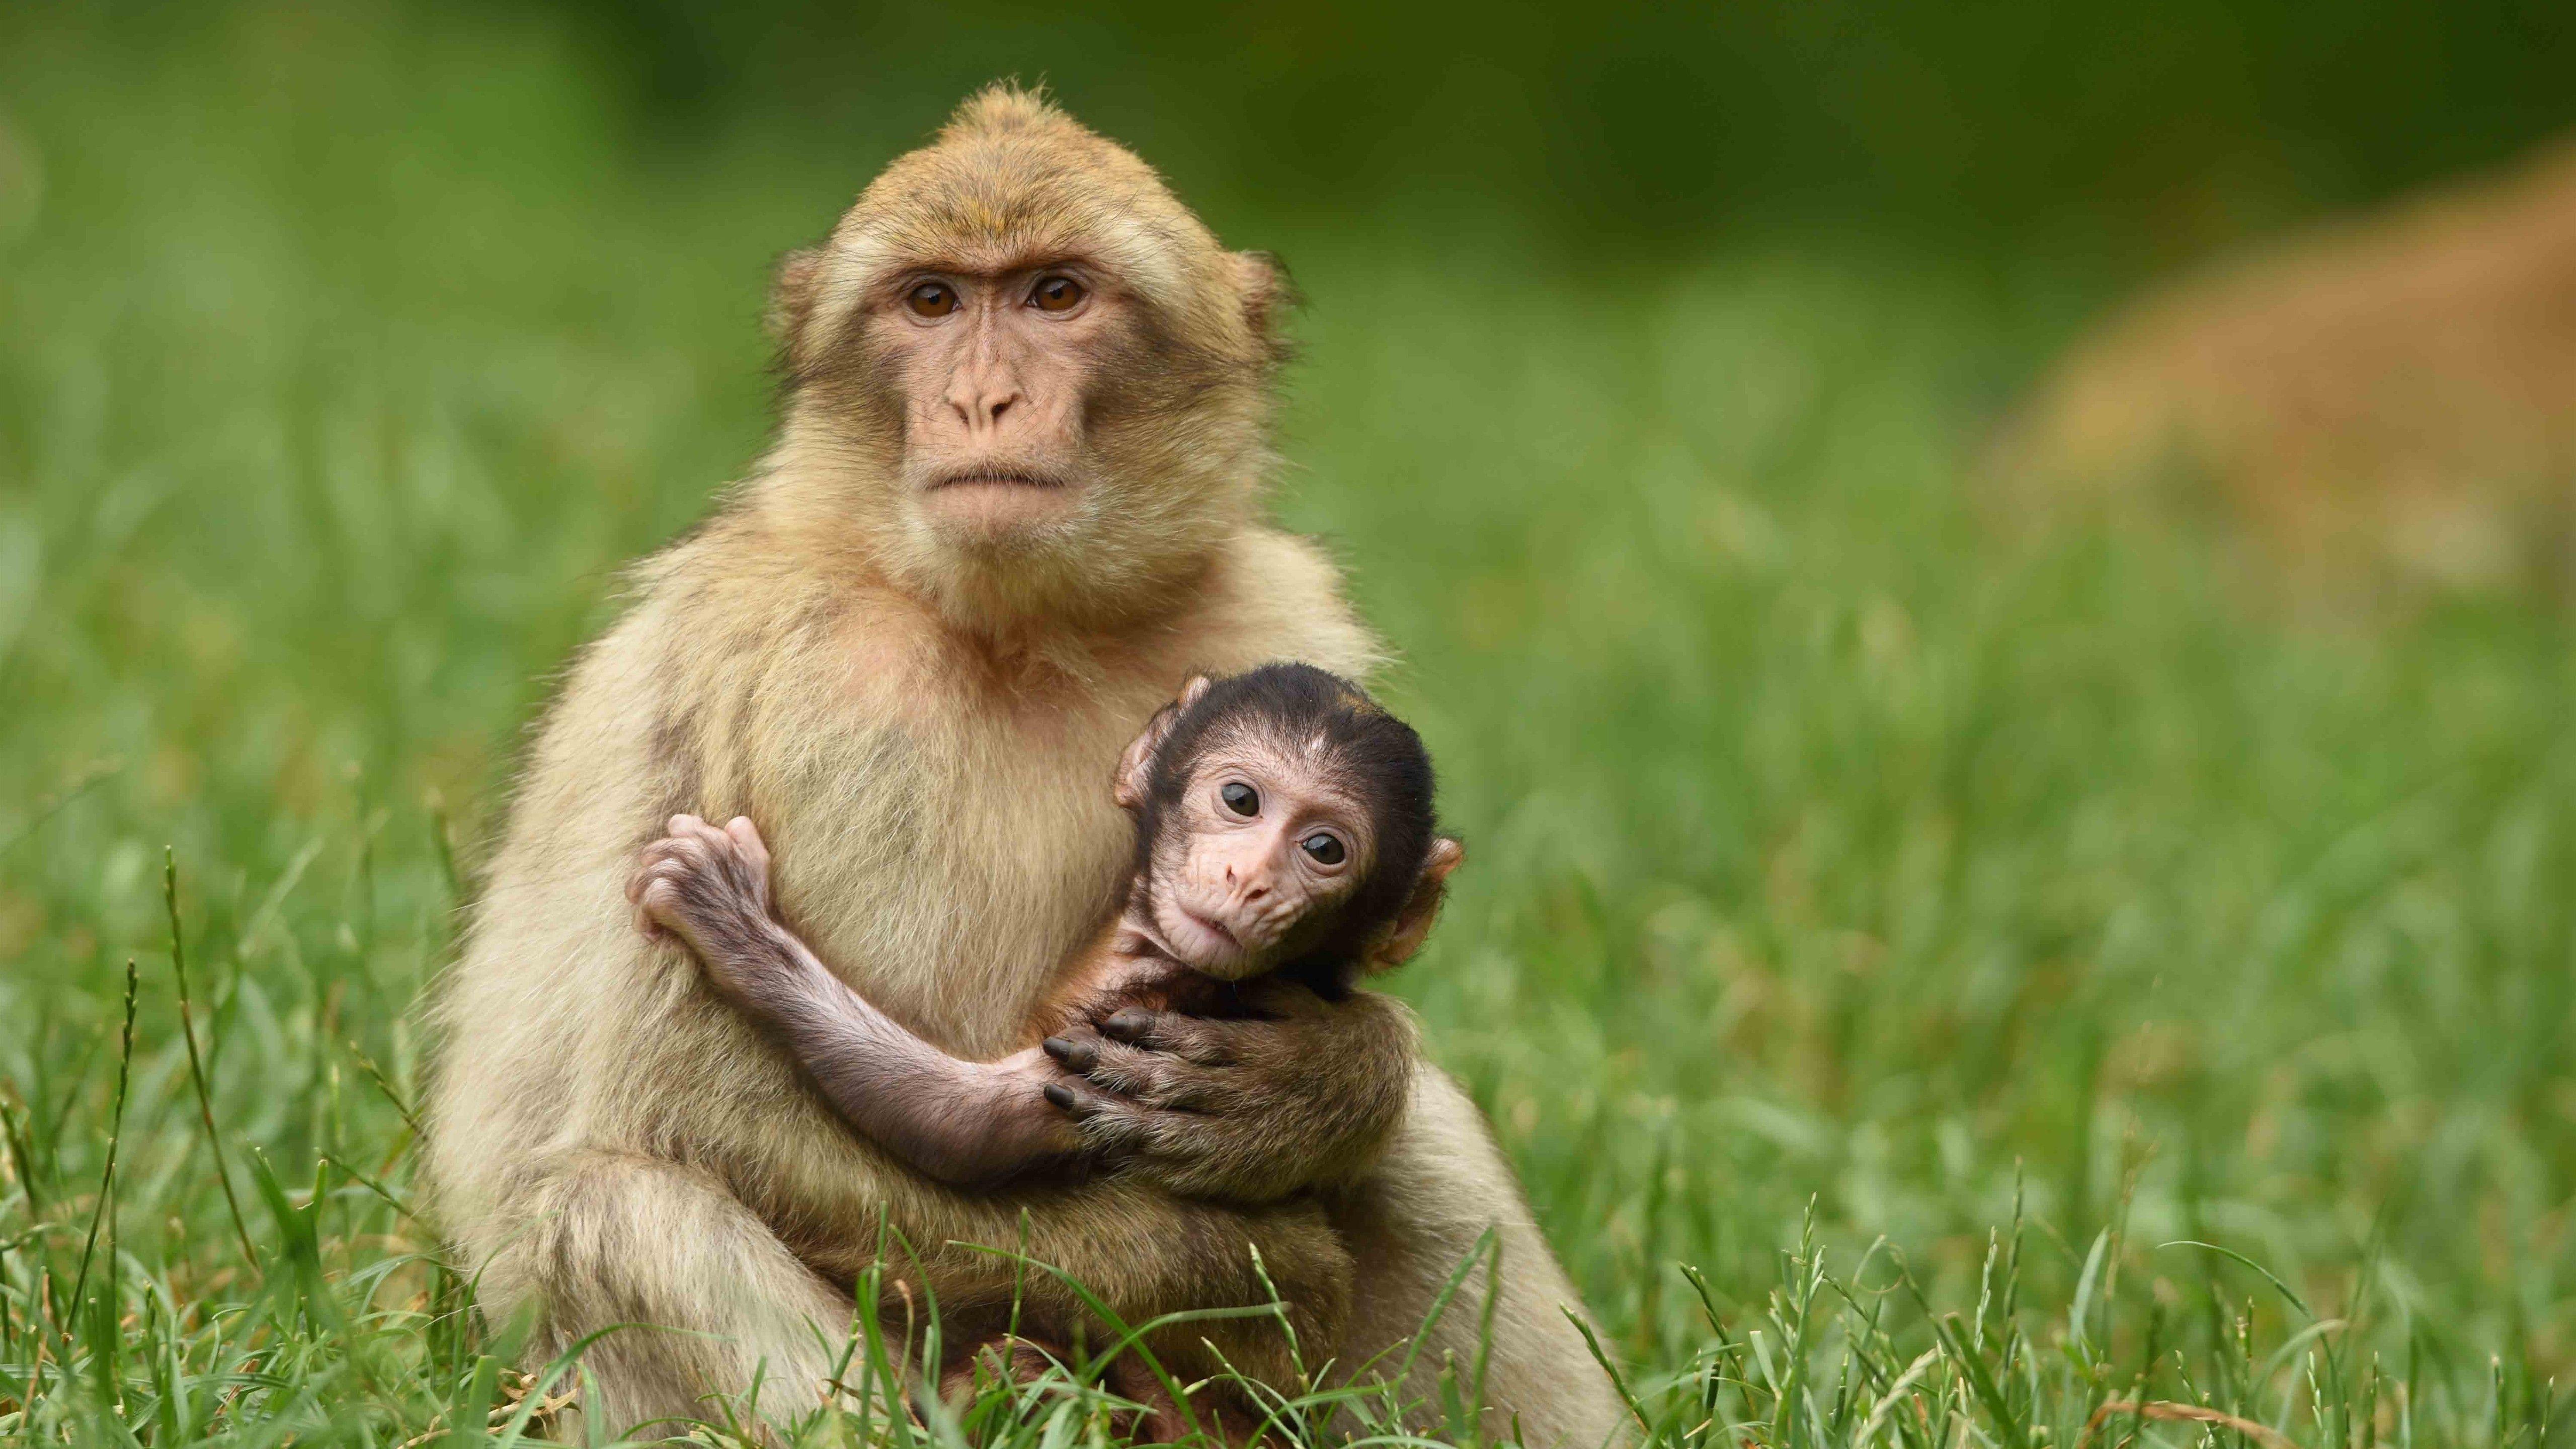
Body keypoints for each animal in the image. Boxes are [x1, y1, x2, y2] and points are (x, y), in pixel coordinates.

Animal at [626, 664, 1463, 1202]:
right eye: (1240, 800)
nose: (1249, 877)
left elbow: (965, 1125)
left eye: (1324, 849)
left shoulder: (1155, 1010)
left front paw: (734, 923)